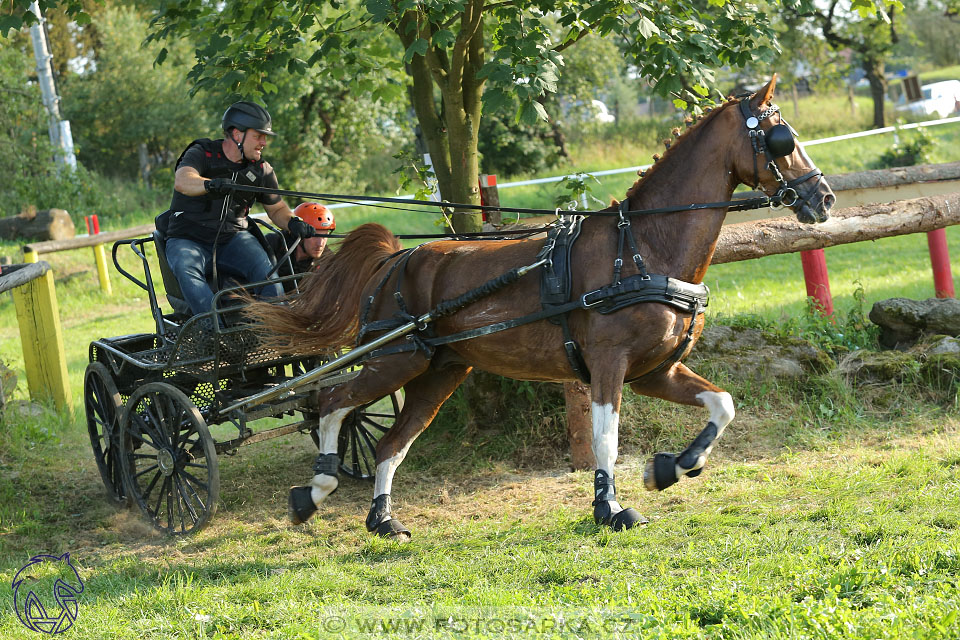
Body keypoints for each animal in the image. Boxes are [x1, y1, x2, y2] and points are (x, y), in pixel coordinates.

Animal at [251, 76, 836, 540]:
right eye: (782, 139)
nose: (824, 198)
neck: (644, 246)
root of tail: (398, 257)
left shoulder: (655, 371)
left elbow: (723, 404)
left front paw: (672, 468)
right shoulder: (609, 364)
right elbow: (605, 439)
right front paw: (611, 507)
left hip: (439, 372)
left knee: (389, 443)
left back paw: (383, 519)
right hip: (394, 359)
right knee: (333, 401)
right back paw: (314, 490)